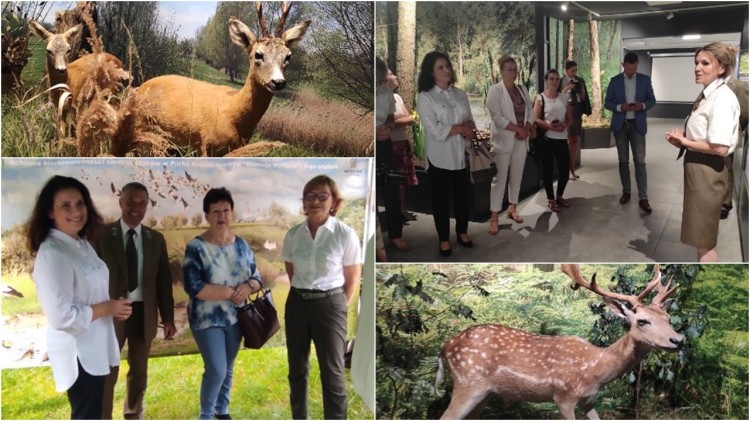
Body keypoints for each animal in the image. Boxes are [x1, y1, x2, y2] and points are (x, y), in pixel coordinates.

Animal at [137, 1, 310, 156]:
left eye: (288, 56)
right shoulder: (208, 144)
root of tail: (141, 87)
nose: (278, 82)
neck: (235, 114)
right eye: (258, 54)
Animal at [434, 264, 688, 418]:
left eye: (668, 317)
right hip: (468, 382)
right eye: (642, 321)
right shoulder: (563, 396)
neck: (596, 369)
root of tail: (444, 348)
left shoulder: (589, 400)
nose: (678, 340)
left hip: (484, 394)